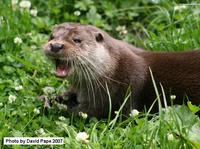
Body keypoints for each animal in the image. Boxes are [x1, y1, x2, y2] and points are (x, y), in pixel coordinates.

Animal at [43, 22, 200, 117]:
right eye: (51, 36)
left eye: (77, 40)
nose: (55, 45)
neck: (113, 73)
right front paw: (49, 98)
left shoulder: (109, 97)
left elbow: (81, 112)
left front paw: (54, 106)